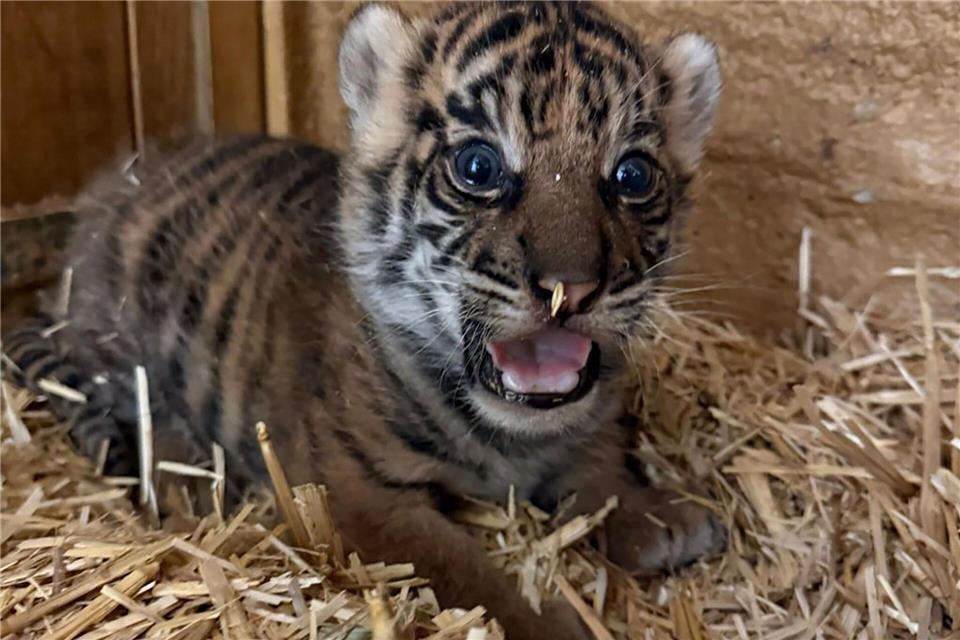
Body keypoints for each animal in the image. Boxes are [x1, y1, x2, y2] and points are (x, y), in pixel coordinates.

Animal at [4, 2, 726, 637]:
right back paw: (188, 489)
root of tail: (103, 191)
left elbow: (599, 462)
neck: (509, 435)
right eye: (478, 167)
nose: (568, 289)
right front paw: (546, 626)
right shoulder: (359, 495)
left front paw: (661, 518)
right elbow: (468, 574)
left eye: (632, 176)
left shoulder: (586, 420)